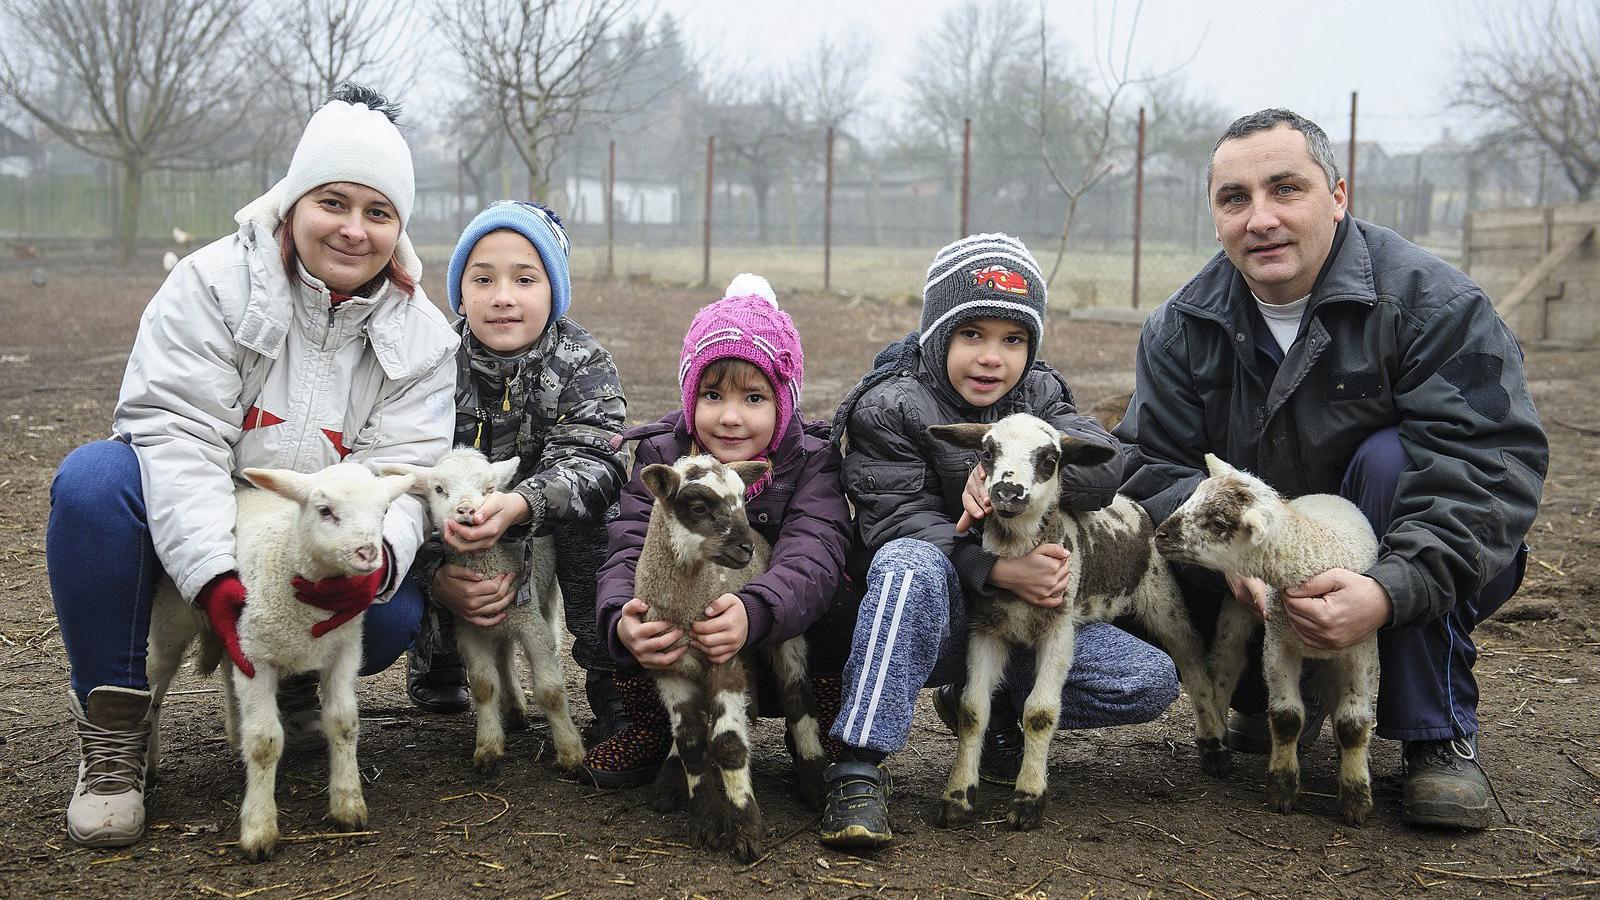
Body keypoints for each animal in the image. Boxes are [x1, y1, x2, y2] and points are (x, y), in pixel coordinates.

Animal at [144, 458, 416, 858]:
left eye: (383, 511)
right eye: (325, 510)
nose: (369, 554)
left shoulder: (343, 650)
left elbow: (344, 723)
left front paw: (348, 805)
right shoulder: (256, 659)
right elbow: (264, 742)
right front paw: (259, 829)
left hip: (235, 633)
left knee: (227, 672)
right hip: (172, 621)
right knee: (153, 690)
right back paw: (147, 764)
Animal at [382, 448, 588, 771]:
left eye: (489, 490)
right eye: (439, 489)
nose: (466, 510)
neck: (488, 565)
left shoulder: (531, 623)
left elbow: (551, 691)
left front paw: (570, 753)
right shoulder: (470, 628)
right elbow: (483, 686)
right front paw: (488, 748)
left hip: (545, 598)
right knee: (503, 655)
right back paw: (514, 709)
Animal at [1158, 451, 1382, 826]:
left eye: (1218, 523)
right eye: (1194, 496)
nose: (1160, 534)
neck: (1313, 555)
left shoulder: (1359, 647)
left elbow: (1354, 723)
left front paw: (1356, 799)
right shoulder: (1278, 643)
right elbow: (1286, 717)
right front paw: (1282, 788)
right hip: (1237, 607)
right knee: (1225, 667)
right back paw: (1215, 741)